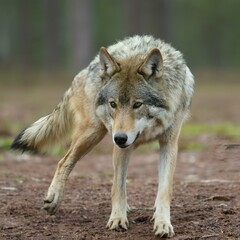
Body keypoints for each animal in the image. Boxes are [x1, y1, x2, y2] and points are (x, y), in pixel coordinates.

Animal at [11, 34, 195, 237]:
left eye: (137, 104)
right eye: (113, 104)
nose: (120, 138)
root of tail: (88, 68)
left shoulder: (169, 144)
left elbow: (164, 189)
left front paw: (162, 223)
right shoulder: (121, 147)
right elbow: (118, 187)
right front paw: (118, 218)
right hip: (92, 133)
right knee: (64, 161)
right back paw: (54, 198)